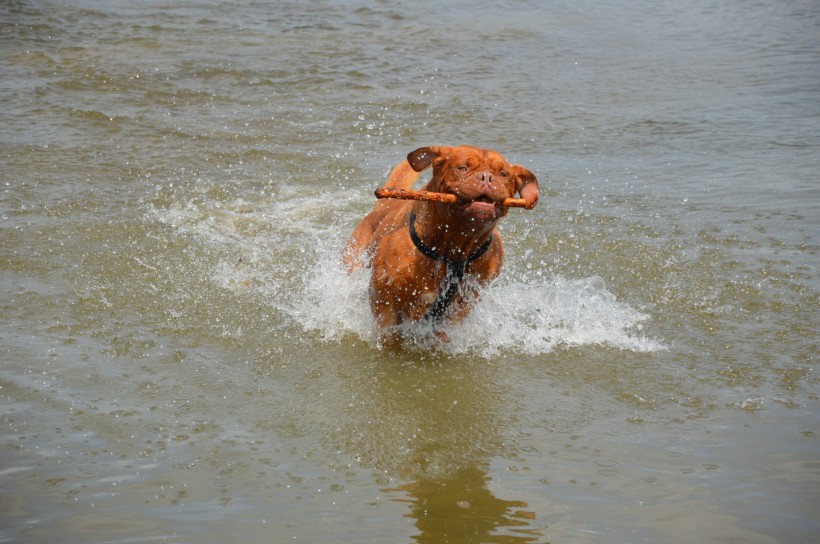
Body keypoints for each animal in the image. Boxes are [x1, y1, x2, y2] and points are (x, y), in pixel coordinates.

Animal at [344, 144, 540, 348]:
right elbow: (389, 332)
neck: (452, 248)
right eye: (462, 168)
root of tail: (384, 206)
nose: (486, 177)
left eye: (503, 174)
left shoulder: (463, 304)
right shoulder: (383, 296)